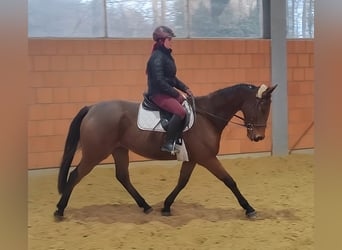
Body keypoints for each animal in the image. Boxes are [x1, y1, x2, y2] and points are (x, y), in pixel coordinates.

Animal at [54, 83, 278, 220]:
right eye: (262, 106)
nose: (259, 137)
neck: (207, 116)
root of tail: (92, 108)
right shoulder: (208, 158)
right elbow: (229, 181)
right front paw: (249, 208)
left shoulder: (193, 159)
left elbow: (182, 182)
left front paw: (167, 206)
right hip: (95, 153)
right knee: (75, 175)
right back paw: (59, 209)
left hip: (119, 150)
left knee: (122, 177)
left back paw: (145, 205)